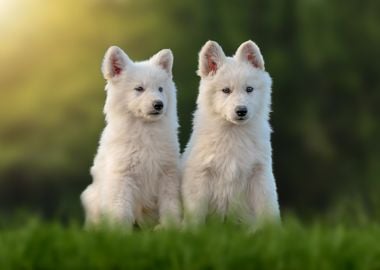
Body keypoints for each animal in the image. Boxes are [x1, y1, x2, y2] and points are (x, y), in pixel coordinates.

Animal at [81, 45, 182, 229]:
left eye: (160, 89)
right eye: (139, 89)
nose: (159, 104)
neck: (145, 131)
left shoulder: (167, 174)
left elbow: (170, 205)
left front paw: (169, 228)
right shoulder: (122, 177)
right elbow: (121, 210)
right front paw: (120, 232)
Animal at [183, 40, 280, 230]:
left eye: (249, 89)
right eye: (226, 90)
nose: (241, 111)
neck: (234, 133)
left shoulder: (260, 174)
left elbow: (267, 209)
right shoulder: (200, 176)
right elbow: (196, 213)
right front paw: (192, 232)